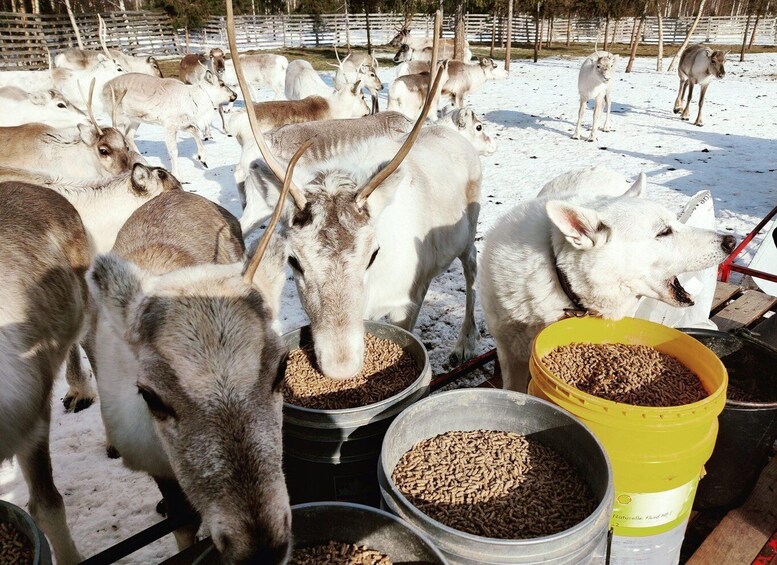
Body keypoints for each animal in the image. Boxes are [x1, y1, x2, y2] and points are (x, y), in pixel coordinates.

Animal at [103, 70, 237, 177]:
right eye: (222, 84)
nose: (235, 95)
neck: (195, 100)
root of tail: (103, 87)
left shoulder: (183, 124)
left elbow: (195, 132)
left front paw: (202, 159)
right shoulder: (170, 126)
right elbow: (174, 151)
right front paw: (178, 175)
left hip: (135, 120)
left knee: (129, 137)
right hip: (120, 118)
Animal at [479, 166, 737, 393]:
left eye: (676, 223)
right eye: (664, 232)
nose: (731, 241)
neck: (561, 279)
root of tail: (596, 167)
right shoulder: (509, 352)